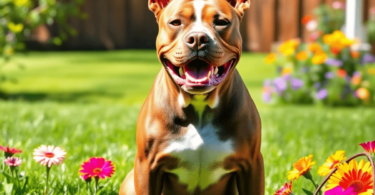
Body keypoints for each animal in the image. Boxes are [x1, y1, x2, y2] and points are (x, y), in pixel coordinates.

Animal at [120, 0, 264, 193]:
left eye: (221, 22)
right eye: (175, 22)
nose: (197, 38)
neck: (199, 108)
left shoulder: (252, 165)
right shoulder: (146, 166)